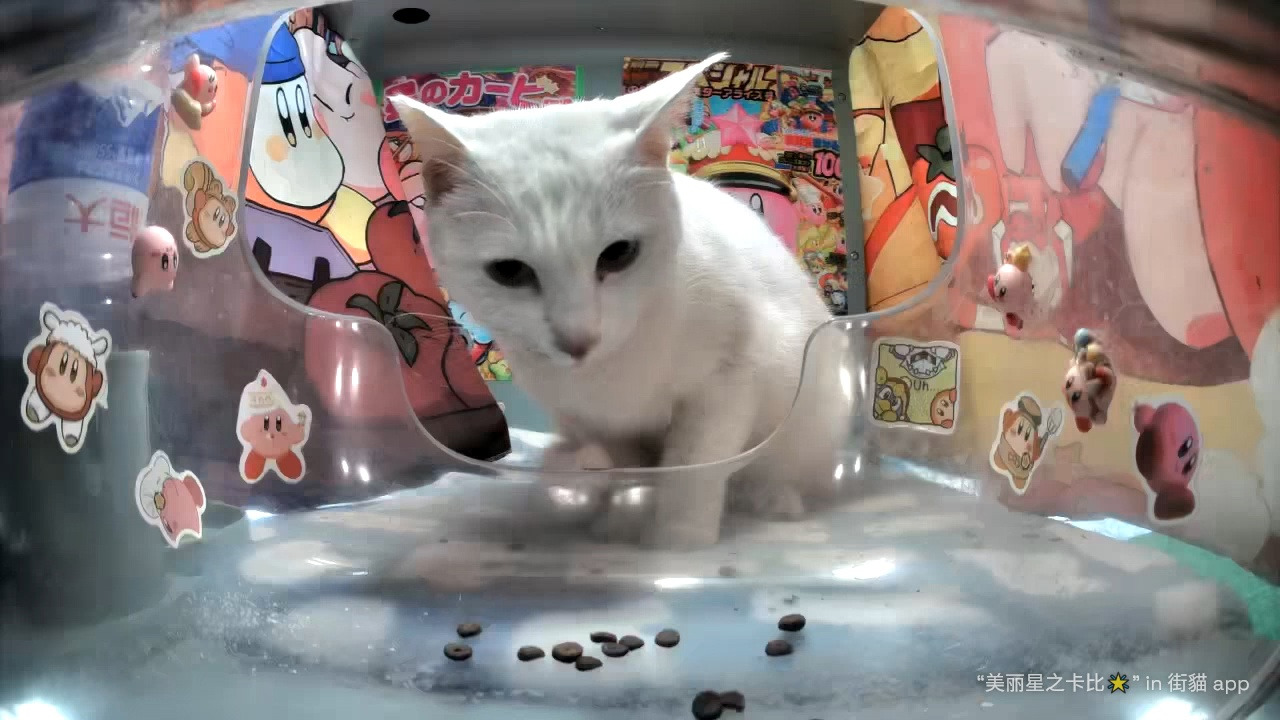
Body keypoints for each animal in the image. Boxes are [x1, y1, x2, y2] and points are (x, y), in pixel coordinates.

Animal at [389, 53, 851, 547]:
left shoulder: (729, 379)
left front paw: (678, 541)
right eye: (509, 271)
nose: (577, 339)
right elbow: (627, 471)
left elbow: (693, 468)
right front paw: (619, 520)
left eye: (618, 253)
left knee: (790, 470)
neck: (609, 370)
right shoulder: (596, 422)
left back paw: (773, 499)